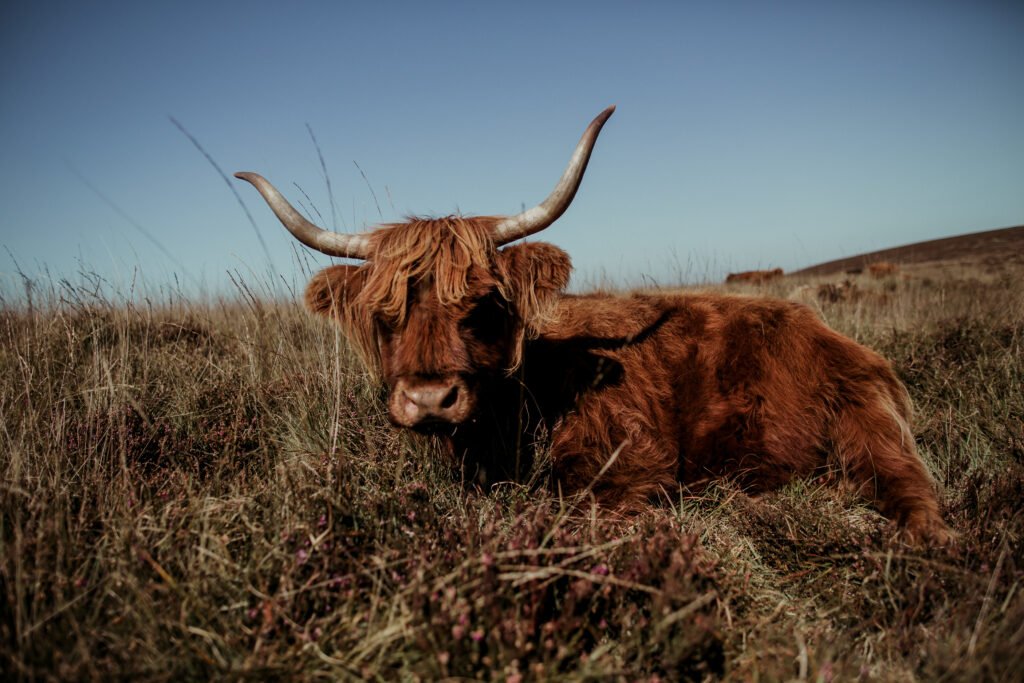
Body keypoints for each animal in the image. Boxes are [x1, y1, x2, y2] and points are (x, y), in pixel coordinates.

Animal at [237, 107, 950, 544]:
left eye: (484, 304)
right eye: (388, 313)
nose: (431, 399)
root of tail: (832, 334)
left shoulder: (632, 465)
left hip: (870, 428)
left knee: (912, 493)